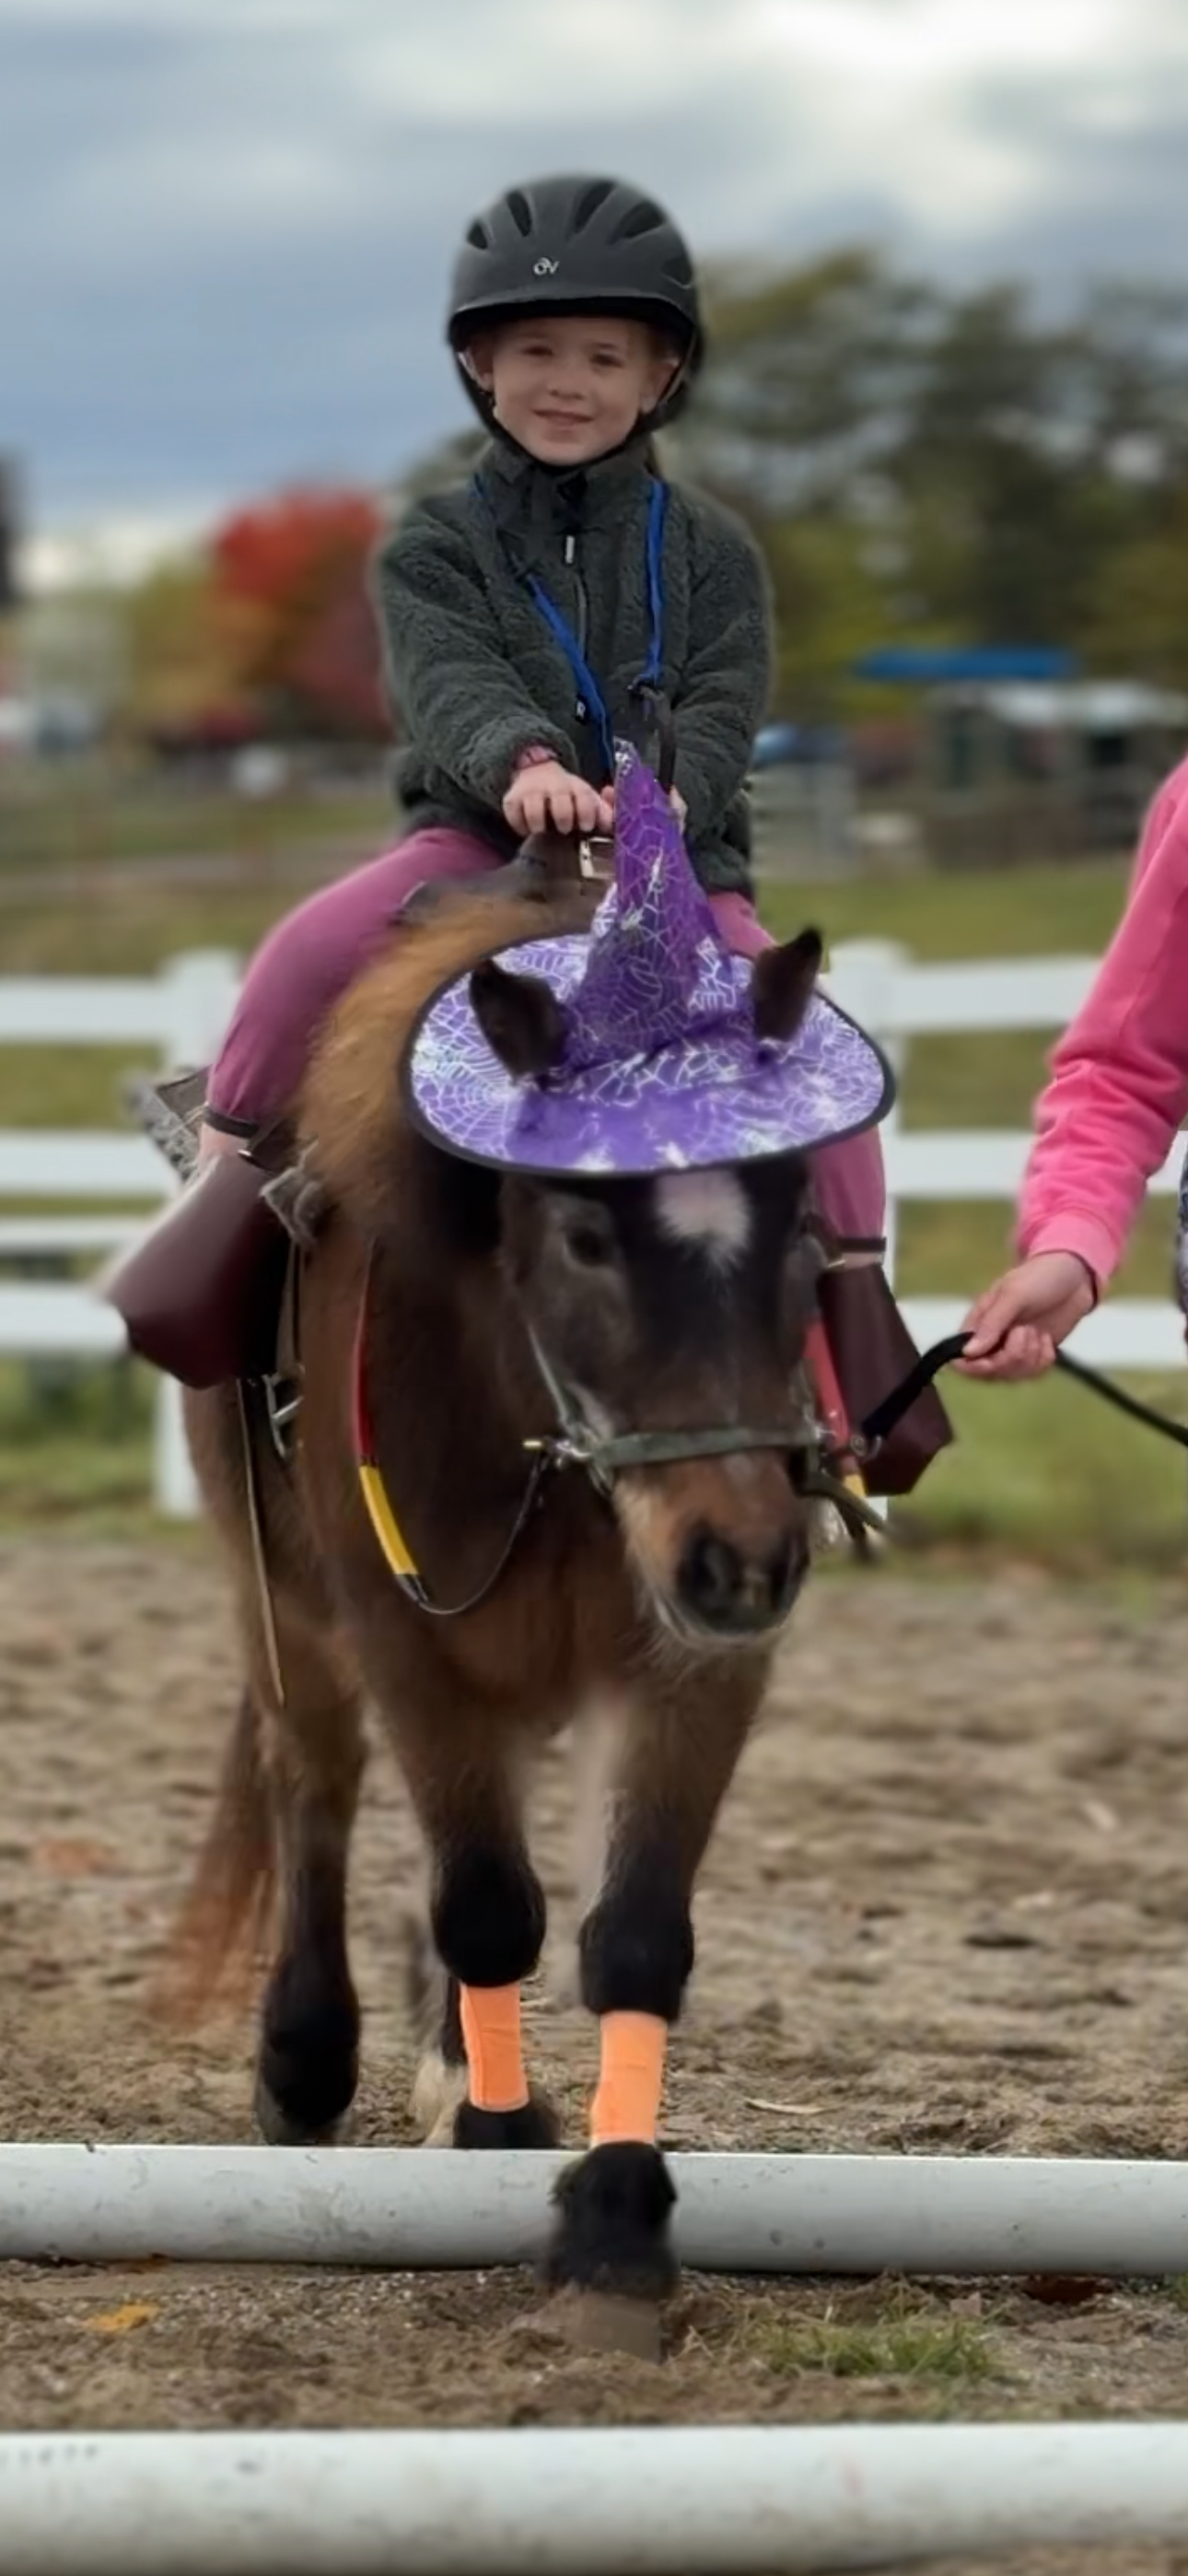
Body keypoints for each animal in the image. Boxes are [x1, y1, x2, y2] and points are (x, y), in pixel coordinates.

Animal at [169, 817, 870, 2332]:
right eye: (588, 1233)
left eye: (801, 1223)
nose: (742, 1556)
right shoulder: (404, 1637)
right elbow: (487, 1903)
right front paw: (497, 2137)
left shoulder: (694, 1663)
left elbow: (634, 1931)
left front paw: (614, 2210)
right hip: (286, 1610)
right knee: (314, 1784)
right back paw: (307, 2061)